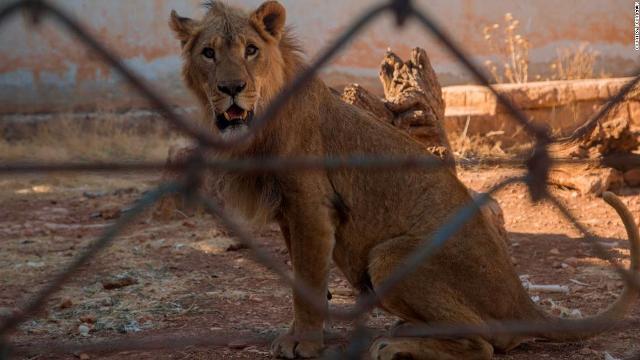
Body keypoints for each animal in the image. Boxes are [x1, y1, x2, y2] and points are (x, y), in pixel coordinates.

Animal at [169, 1, 640, 358]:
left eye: (251, 50)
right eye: (208, 53)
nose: (231, 88)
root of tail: (520, 299)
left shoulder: (311, 208)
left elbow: (307, 282)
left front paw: (302, 343)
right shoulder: (290, 213)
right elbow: (306, 280)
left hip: (389, 257)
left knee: (484, 344)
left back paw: (394, 346)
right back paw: (402, 333)